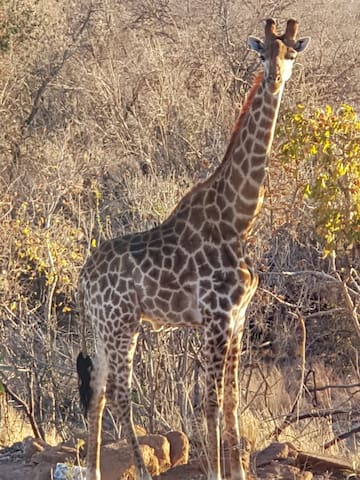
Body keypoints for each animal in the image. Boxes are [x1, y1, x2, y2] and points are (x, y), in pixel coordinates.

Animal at [76, 17, 310, 480]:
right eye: (262, 52)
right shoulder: (215, 317)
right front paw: (219, 472)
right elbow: (212, 402)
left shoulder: (237, 319)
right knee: (120, 392)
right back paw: (142, 470)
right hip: (122, 323)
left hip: (102, 324)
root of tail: (84, 277)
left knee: (97, 389)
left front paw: (238, 472)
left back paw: (93, 470)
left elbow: (232, 402)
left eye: (292, 52)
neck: (239, 218)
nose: (275, 78)